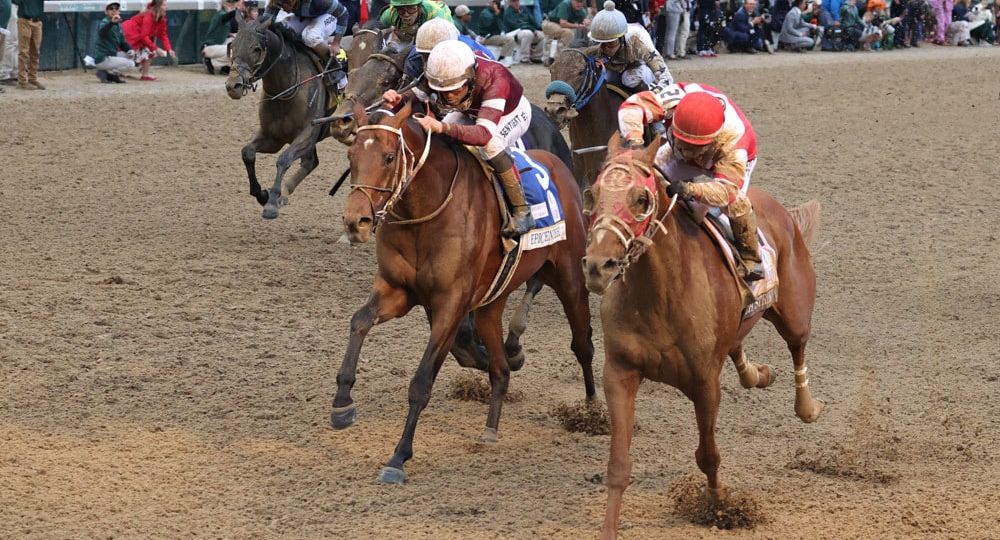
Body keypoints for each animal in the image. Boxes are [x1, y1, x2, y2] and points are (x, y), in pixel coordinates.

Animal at [332, 101, 596, 486]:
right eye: (351, 156)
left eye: (389, 157)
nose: (356, 222)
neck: (425, 210)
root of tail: (558, 163)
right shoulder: (397, 291)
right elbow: (359, 321)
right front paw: (342, 402)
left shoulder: (451, 306)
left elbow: (421, 382)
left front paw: (398, 457)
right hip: (491, 302)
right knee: (500, 368)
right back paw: (491, 427)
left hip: (569, 278)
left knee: (582, 344)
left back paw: (593, 411)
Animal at [584, 136, 824, 540]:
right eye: (592, 193)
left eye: (641, 199)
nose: (597, 266)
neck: (658, 296)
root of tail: (780, 211)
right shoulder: (619, 372)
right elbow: (618, 466)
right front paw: (609, 530)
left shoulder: (705, 383)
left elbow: (708, 456)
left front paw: (720, 508)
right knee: (739, 345)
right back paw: (755, 373)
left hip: (793, 311)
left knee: (798, 346)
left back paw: (806, 406)